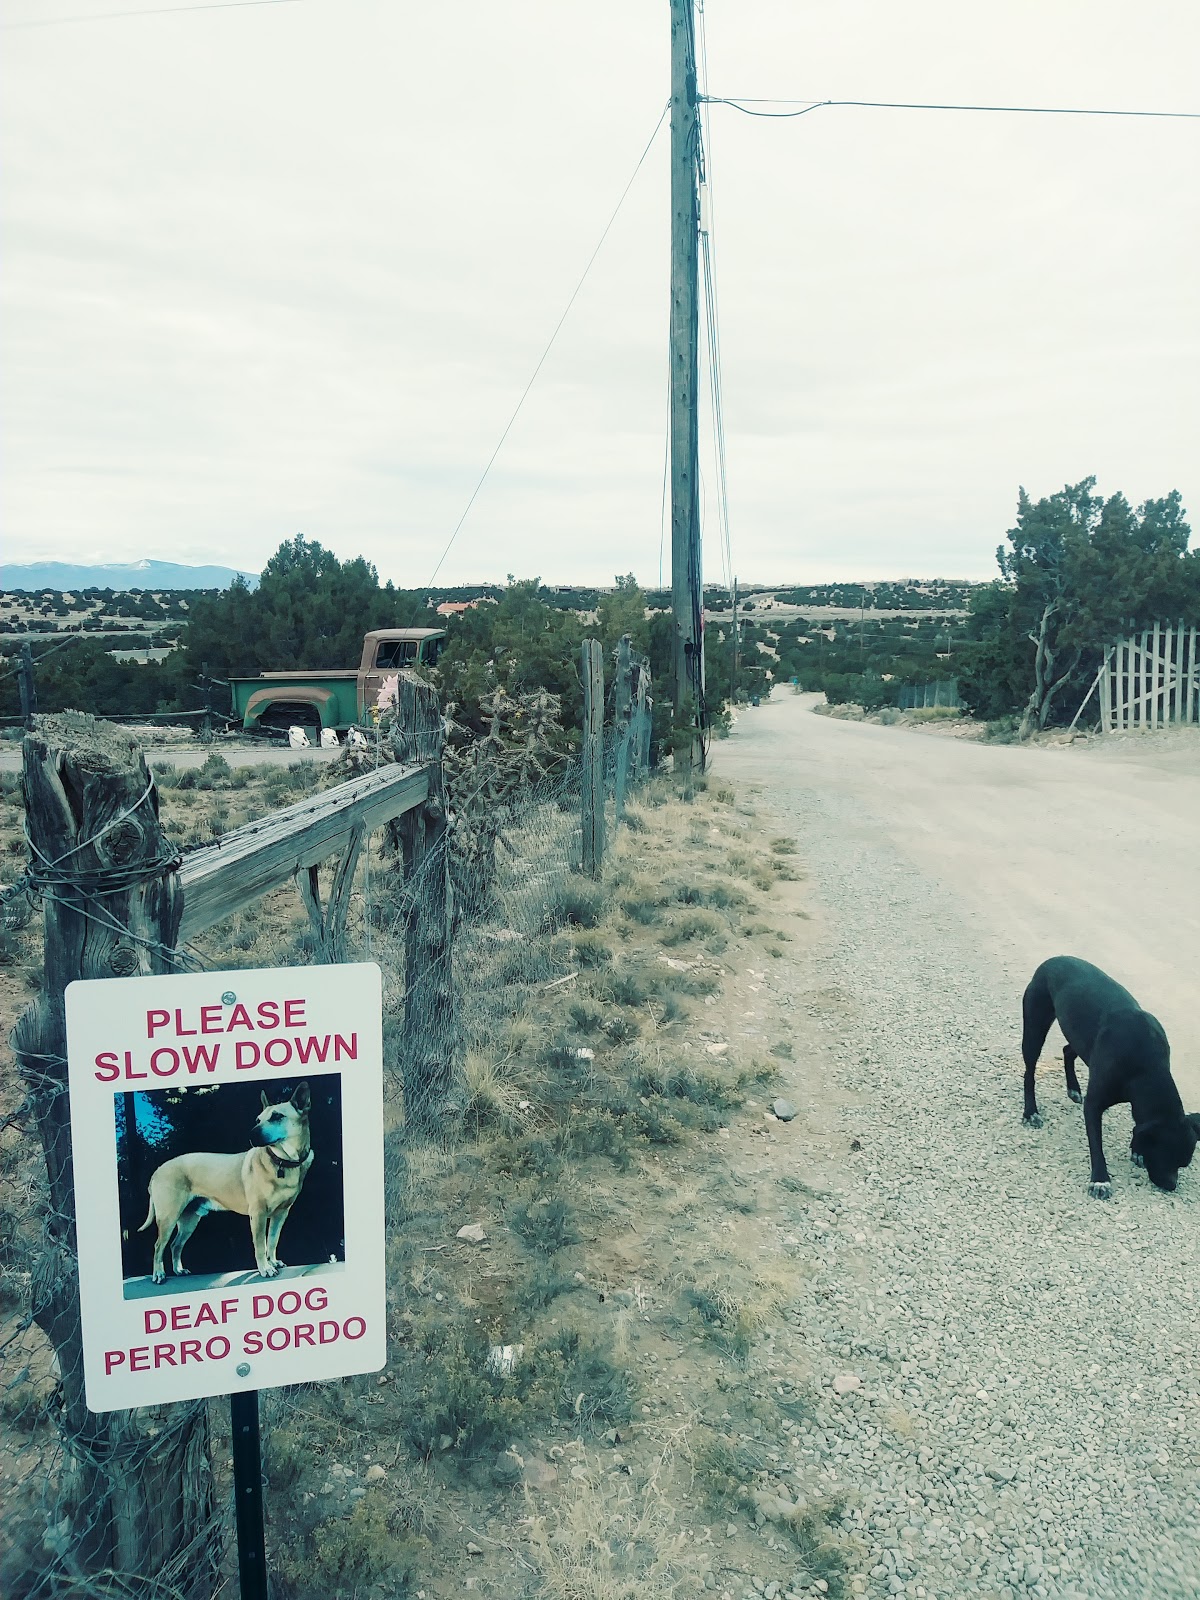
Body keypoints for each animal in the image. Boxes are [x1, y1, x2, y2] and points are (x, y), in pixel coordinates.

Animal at [139, 1083, 314, 1282]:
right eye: (258, 1119)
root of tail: (158, 1170)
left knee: (175, 1245)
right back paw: (159, 1274)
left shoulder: (281, 1214)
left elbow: (272, 1240)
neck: (283, 1161)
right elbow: (260, 1245)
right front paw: (265, 1268)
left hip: (189, 1220)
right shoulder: (258, 1214)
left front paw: (273, 1261)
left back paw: (179, 1270)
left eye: (277, 1116)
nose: (251, 1134)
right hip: (168, 1217)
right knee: (158, 1246)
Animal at [1021, 957, 1199, 1198]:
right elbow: (1097, 1145)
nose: (1171, 1186)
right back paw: (1031, 1111)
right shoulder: (1094, 1104)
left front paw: (1136, 1150)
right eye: (1165, 1156)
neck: (1146, 1069)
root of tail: (1053, 959)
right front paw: (1100, 1180)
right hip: (1035, 1025)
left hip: (1082, 1038)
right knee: (1029, 1071)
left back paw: (1073, 1088)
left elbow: (1137, 1126)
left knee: (1068, 1050)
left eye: (1182, 1164)